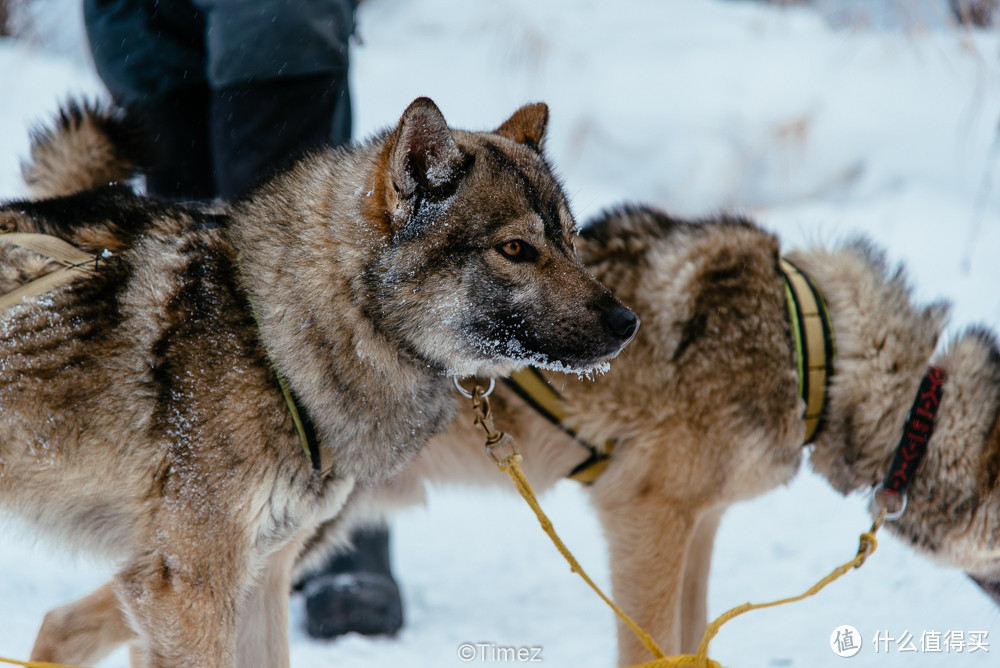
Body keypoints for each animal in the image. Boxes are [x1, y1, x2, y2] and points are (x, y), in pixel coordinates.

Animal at [0, 99, 636, 668]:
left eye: (572, 239)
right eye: (514, 249)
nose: (627, 323)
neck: (273, 339)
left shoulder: (264, 575)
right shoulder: (189, 589)